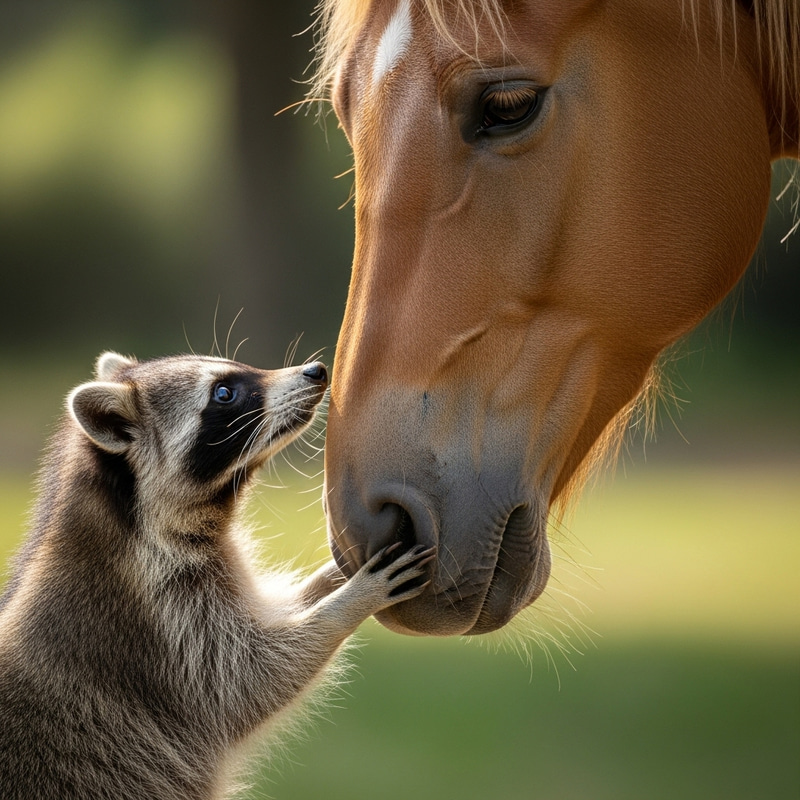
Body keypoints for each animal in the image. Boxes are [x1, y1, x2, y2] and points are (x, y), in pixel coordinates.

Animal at [0, 352, 434, 799]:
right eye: (224, 394)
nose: (316, 371)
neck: (126, 517)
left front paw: (336, 576)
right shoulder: (160, 624)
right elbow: (251, 680)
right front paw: (348, 602)